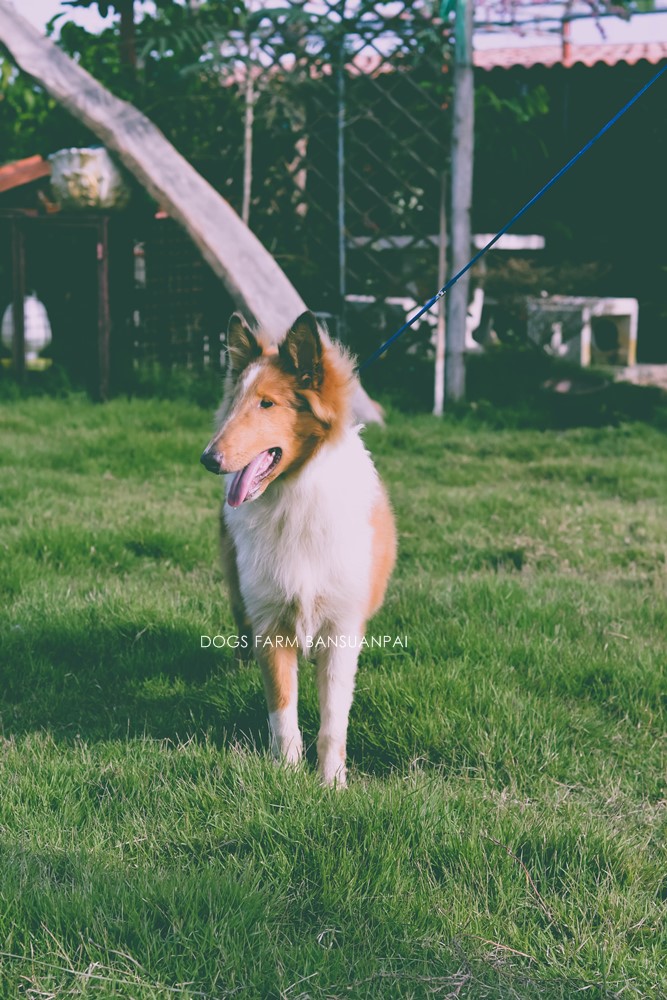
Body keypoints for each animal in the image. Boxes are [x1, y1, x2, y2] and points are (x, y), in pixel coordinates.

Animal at [200, 311, 396, 785]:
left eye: (267, 404)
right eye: (234, 401)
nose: (208, 459)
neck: (294, 495)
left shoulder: (342, 628)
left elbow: (333, 719)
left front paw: (331, 784)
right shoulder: (270, 622)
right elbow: (282, 710)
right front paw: (288, 777)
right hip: (240, 595)